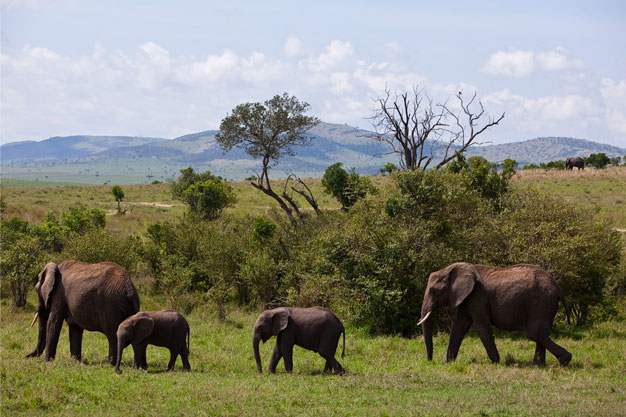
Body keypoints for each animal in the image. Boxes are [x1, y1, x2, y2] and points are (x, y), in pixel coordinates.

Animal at [414, 264, 572, 364]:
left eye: (434, 291)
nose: (430, 361)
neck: (449, 270)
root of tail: (557, 287)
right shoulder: (467, 298)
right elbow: (459, 326)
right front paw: (448, 362)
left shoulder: (477, 296)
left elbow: (481, 326)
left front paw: (496, 362)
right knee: (540, 333)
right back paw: (539, 365)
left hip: (541, 302)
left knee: (535, 333)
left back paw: (565, 361)